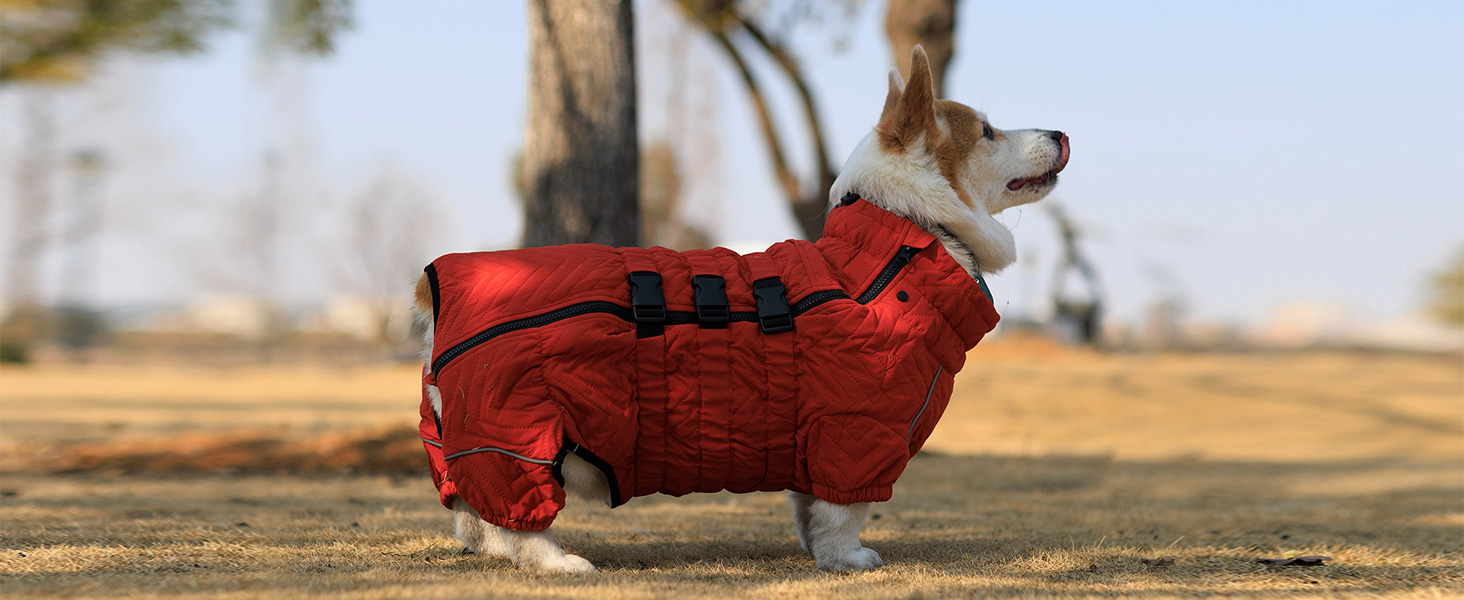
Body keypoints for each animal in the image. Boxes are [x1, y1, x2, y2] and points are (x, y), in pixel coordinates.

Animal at [412, 45, 1065, 570]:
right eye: (987, 131)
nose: (1062, 134)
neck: (904, 237)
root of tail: (440, 288)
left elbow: (809, 509)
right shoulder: (853, 434)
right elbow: (842, 515)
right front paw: (849, 560)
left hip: (462, 443)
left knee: (474, 518)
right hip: (522, 440)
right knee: (517, 521)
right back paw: (560, 562)